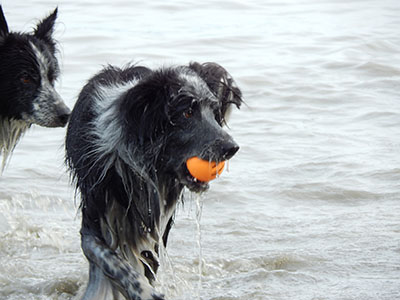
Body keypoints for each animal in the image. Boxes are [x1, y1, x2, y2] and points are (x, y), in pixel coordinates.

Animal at [65, 62, 244, 298]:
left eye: (214, 113)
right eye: (187, 112)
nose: (231, 148)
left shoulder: (156, 223)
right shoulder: (95, 210)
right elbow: (107, 257)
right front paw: (142, 291)